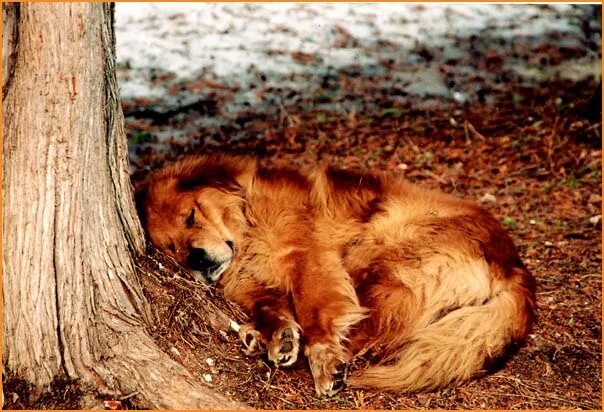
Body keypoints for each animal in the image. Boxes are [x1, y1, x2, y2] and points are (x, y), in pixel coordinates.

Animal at [136, 154, 532, 396]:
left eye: (190, 217)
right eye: (172, 250)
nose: (198, 260)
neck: (248, 221)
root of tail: (514, 266)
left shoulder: (308, 259)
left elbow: (315, 312)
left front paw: (320, 355)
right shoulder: (256, 286)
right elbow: (270, 306)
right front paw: (277, 333)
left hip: (379, 253)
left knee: (370, 332)